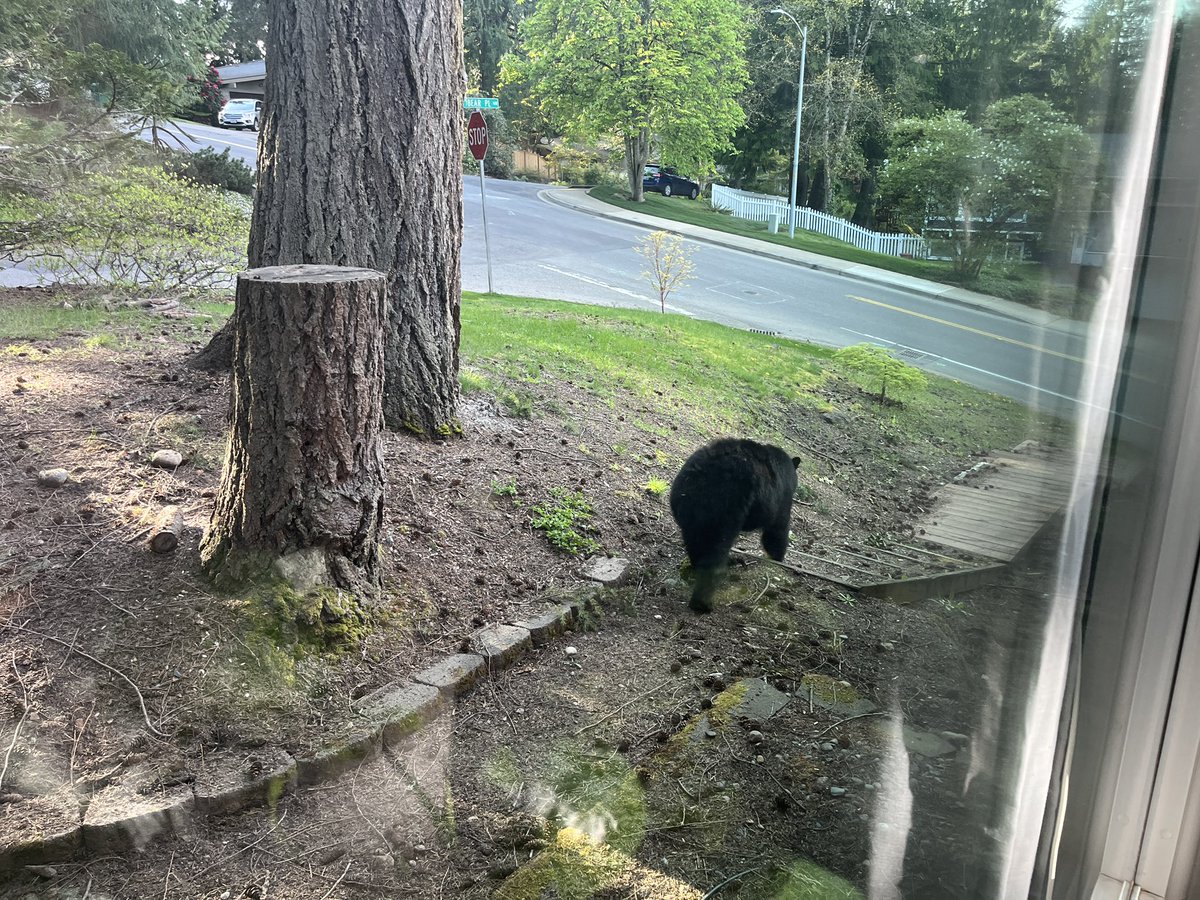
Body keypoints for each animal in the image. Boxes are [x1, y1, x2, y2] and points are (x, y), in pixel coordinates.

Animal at [669, 438, 800, 613]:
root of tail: (701, 476)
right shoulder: (781, 500)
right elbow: (777, 529)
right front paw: (778, 558)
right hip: (726, 508)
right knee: (715, 550)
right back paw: (703, 602)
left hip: (687, 508)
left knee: (695, 541)